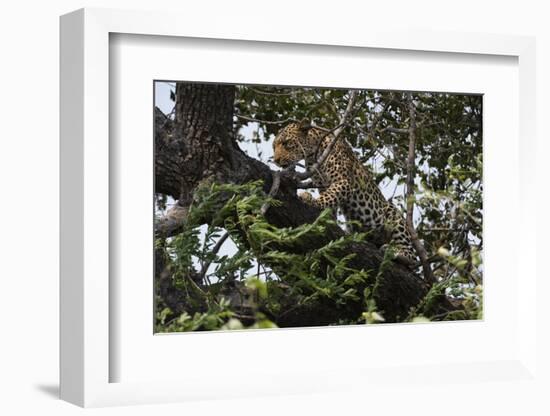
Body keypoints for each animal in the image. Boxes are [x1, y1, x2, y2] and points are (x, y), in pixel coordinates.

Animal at [274, 118, 420, 266]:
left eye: (286, 143)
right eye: (274, 146)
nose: (276, 160)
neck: (313, 155)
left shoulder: (343, 181)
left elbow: (328, 197)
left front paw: (310, 200)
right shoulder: (322, 185)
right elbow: (330, 201)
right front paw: (328, 218)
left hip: (392, 213)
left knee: (412, 256)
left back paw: (395, 252)